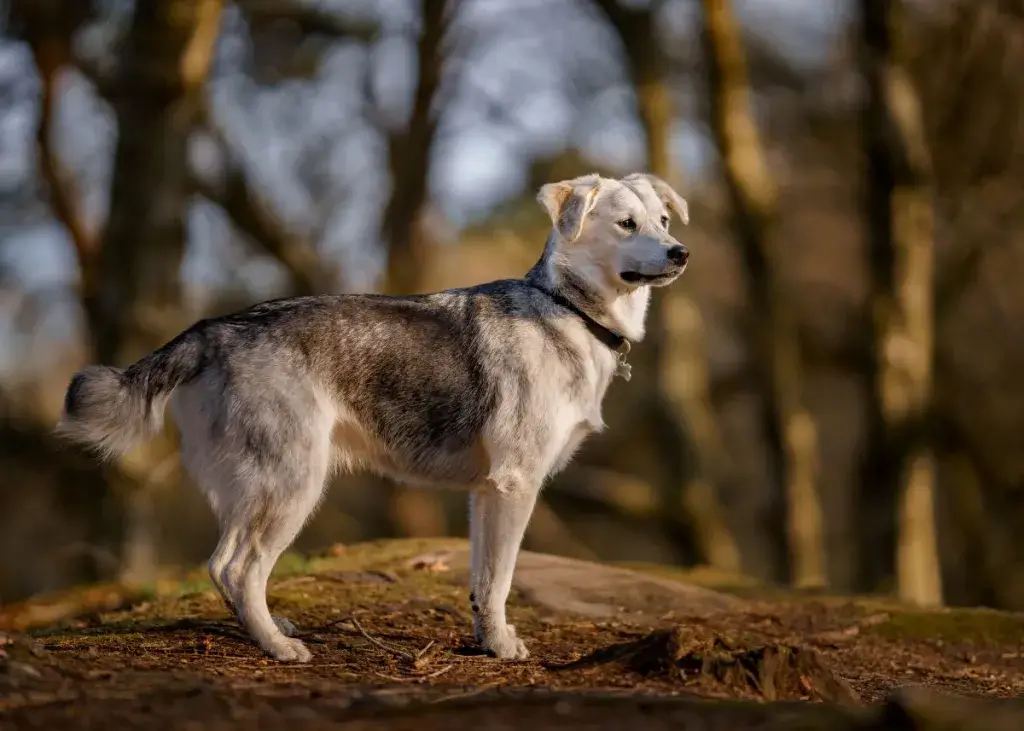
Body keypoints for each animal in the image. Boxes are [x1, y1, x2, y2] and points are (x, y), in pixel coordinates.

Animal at [54, 170, 688, 659]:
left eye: (664, 220)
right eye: (626, 224)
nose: (680, 252)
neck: (567, 310)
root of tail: (213, 328)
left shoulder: (487, 494)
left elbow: (482, 582)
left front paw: (487, 641)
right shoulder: (517, 485)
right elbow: (503, 579)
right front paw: (505, 646)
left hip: (252, 488)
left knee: (222, 567)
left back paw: (265, 631)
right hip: (292, 484)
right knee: (239, 569)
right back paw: (278, 648)